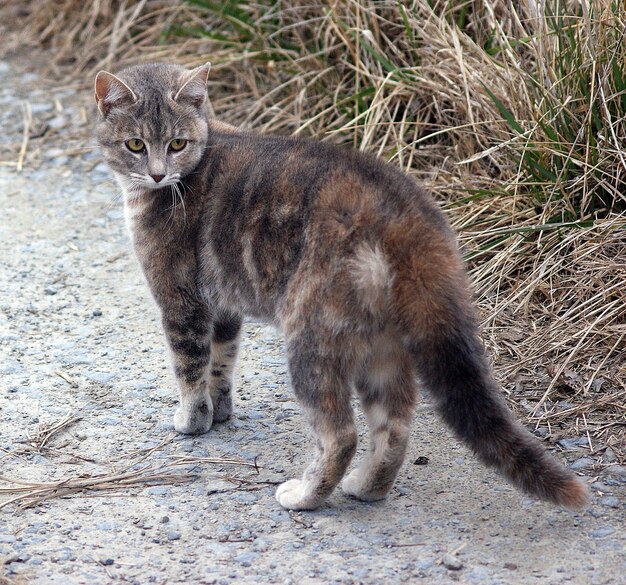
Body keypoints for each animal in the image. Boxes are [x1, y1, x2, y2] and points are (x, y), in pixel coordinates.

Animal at [95, 62, 588, 512]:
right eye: (136, 144)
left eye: (176, 144)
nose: (157, 174)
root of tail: (406, 215)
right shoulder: (225, 307)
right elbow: (222, 362)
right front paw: (221, 412)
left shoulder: (181, 299)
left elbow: (190, 367)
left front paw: (193, 420)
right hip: (383, 345)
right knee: (394, 425)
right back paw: (367, 487)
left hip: (312, 338)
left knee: (341, 433)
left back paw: (304, 496)